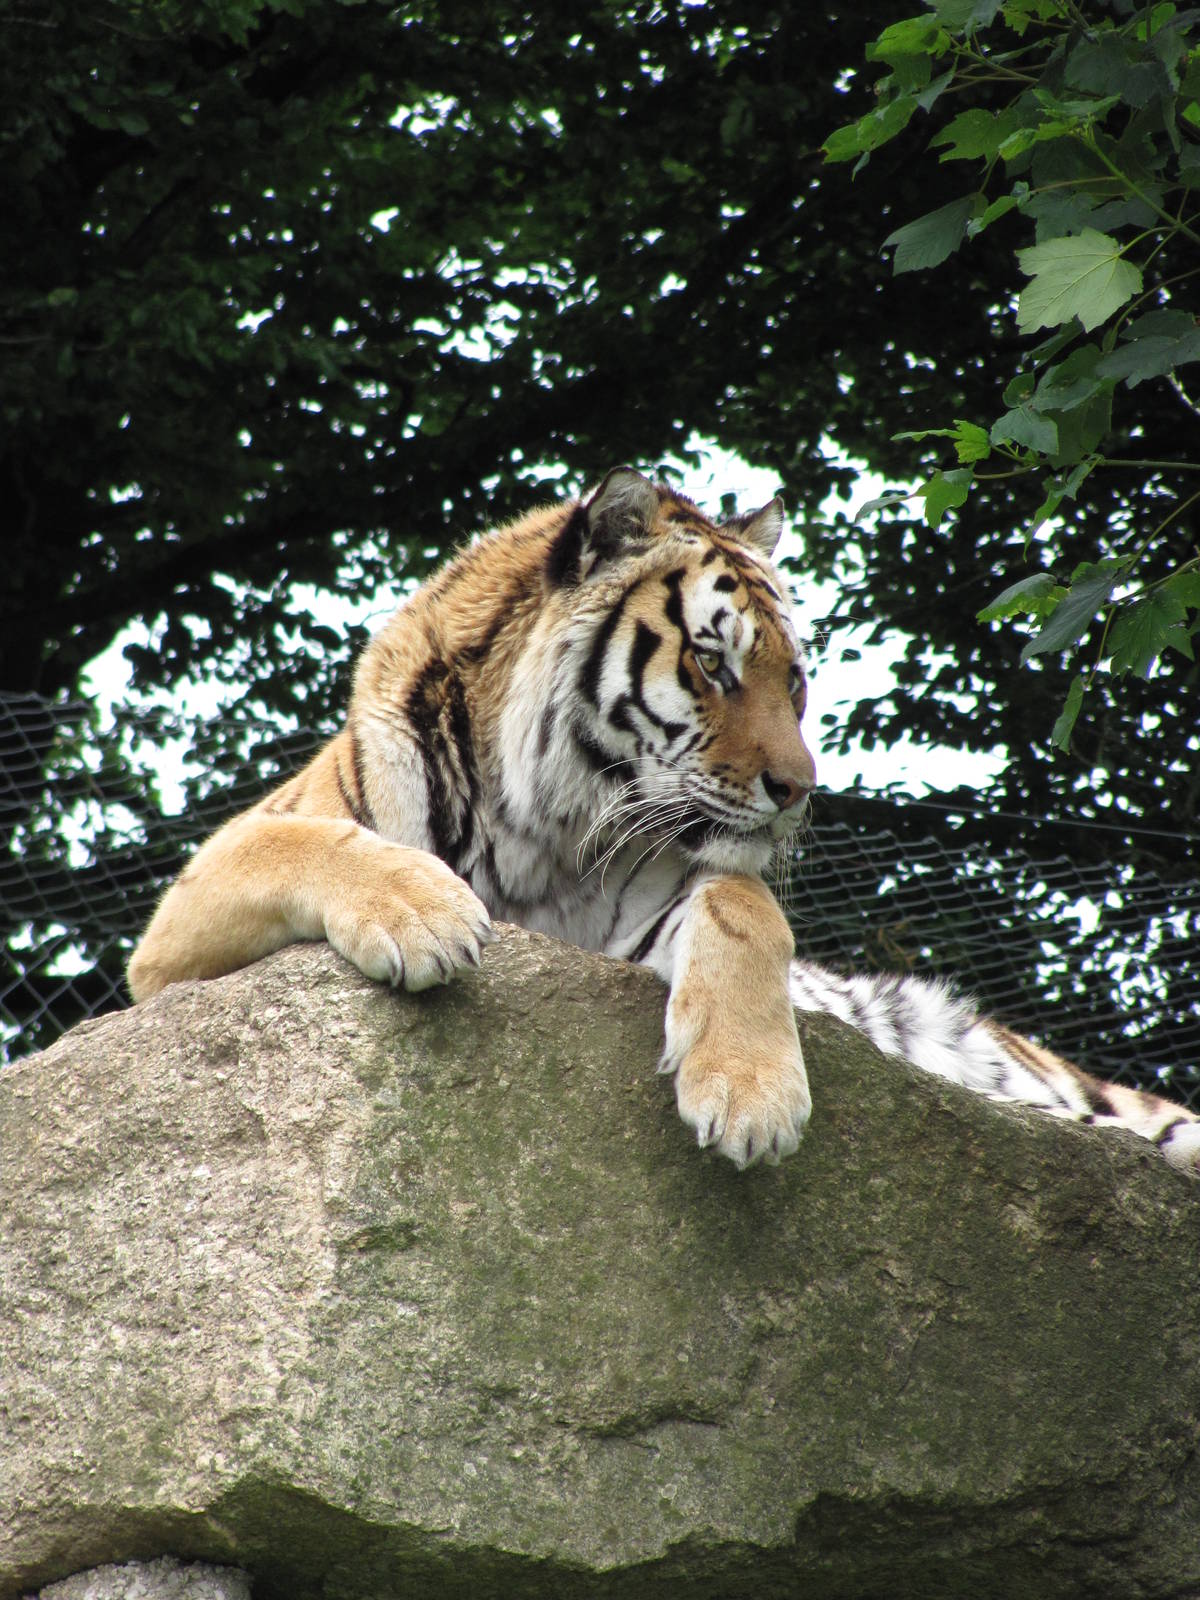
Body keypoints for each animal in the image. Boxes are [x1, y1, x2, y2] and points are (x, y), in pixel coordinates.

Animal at [128, 467, 1200, 1176]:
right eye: (714, 665)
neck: (540, 835)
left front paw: (750, 1094)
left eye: (795, 679)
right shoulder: (169, 942)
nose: (799, 790)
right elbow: (308, 842)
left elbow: (743, 907)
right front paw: (422, 914)